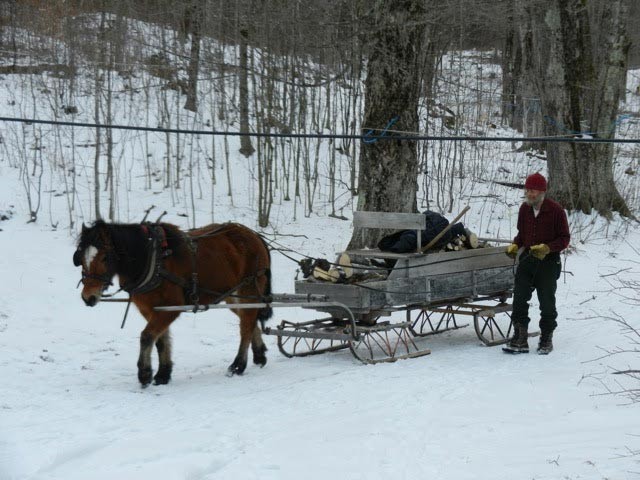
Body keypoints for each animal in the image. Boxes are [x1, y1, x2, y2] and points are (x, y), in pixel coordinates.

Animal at [72, 219, 272, 384]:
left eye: (105, 257)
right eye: (81, 257)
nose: (88, 297)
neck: (151, 260)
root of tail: (254, 235)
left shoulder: (169, 308)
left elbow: (147, 336)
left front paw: (145, 373)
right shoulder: (152, 309)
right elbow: (160, 339)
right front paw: (163, 374)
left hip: (249, 288)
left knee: (246, 325)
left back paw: (238, 364)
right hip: (232, 295)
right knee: (249, 319)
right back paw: (259, 354)